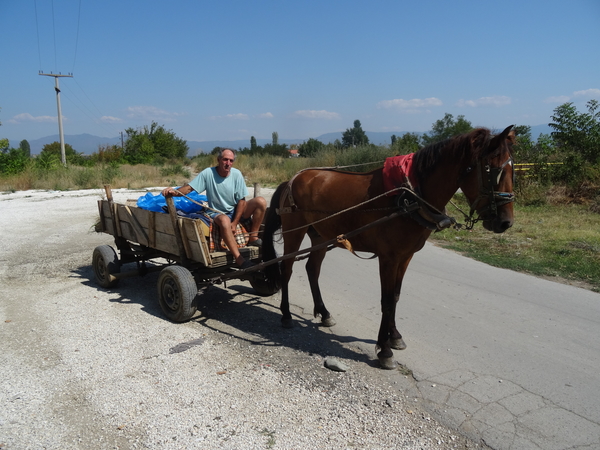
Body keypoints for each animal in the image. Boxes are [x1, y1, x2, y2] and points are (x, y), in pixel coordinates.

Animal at [262, 125, 516, 370]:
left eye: (514, 169)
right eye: (494, 171)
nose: (506, 222)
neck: (409, 196)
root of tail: (293, 179)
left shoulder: (405, 257)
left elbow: (395, 296)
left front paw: (394, 336)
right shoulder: (388, 258)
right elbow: (385, 300)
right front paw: (384, 351)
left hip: (321, 236)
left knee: (312, 269)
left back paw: (324, 313)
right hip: (294, 232)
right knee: (287, 269)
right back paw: (286, 315)